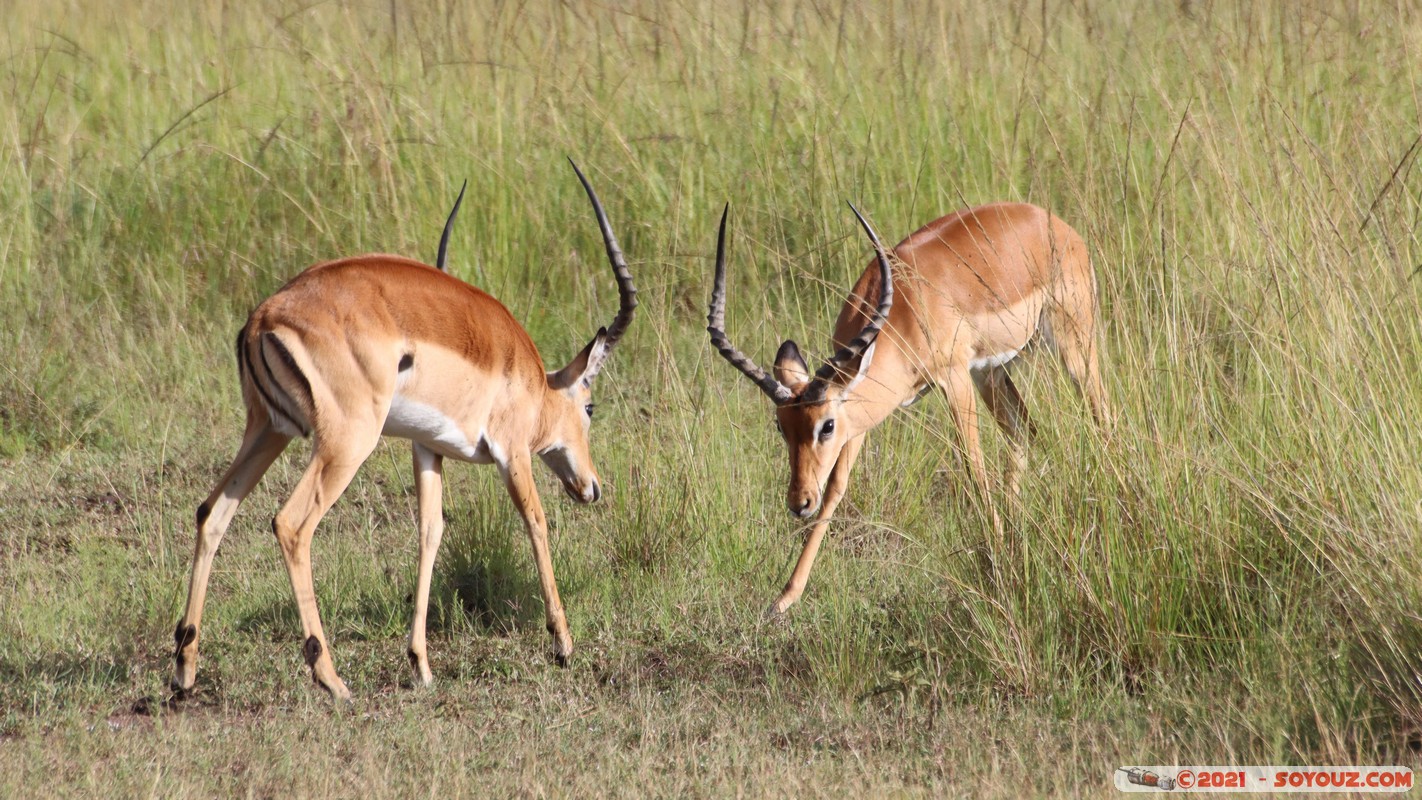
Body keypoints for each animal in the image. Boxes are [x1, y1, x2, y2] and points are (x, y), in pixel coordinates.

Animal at [171, 161, 636, 699]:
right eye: (590, 406)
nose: (592, 487)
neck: (526, 374)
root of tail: (262, 318)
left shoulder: (426, 448)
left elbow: (429, 533)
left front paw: (421, 665)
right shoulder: (511, 451)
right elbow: (535, 522)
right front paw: (562, 644)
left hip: (268, 431)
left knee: (212, 512)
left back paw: (184, 670)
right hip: (346, 443)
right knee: (290, 524)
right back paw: (332, 679)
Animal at [707, 201, 1110, 616]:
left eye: (826, 426)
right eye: (781, 426)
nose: (799, 502)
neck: (905, 311)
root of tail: (1051, 220)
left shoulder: (953, 377)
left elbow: (974, 467)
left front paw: (999, 569)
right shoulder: (860, 413)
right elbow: (836, 488)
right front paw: (785, 597)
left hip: (1073, 346)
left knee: (1101, 419)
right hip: (992, 374)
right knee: (1025, 434)